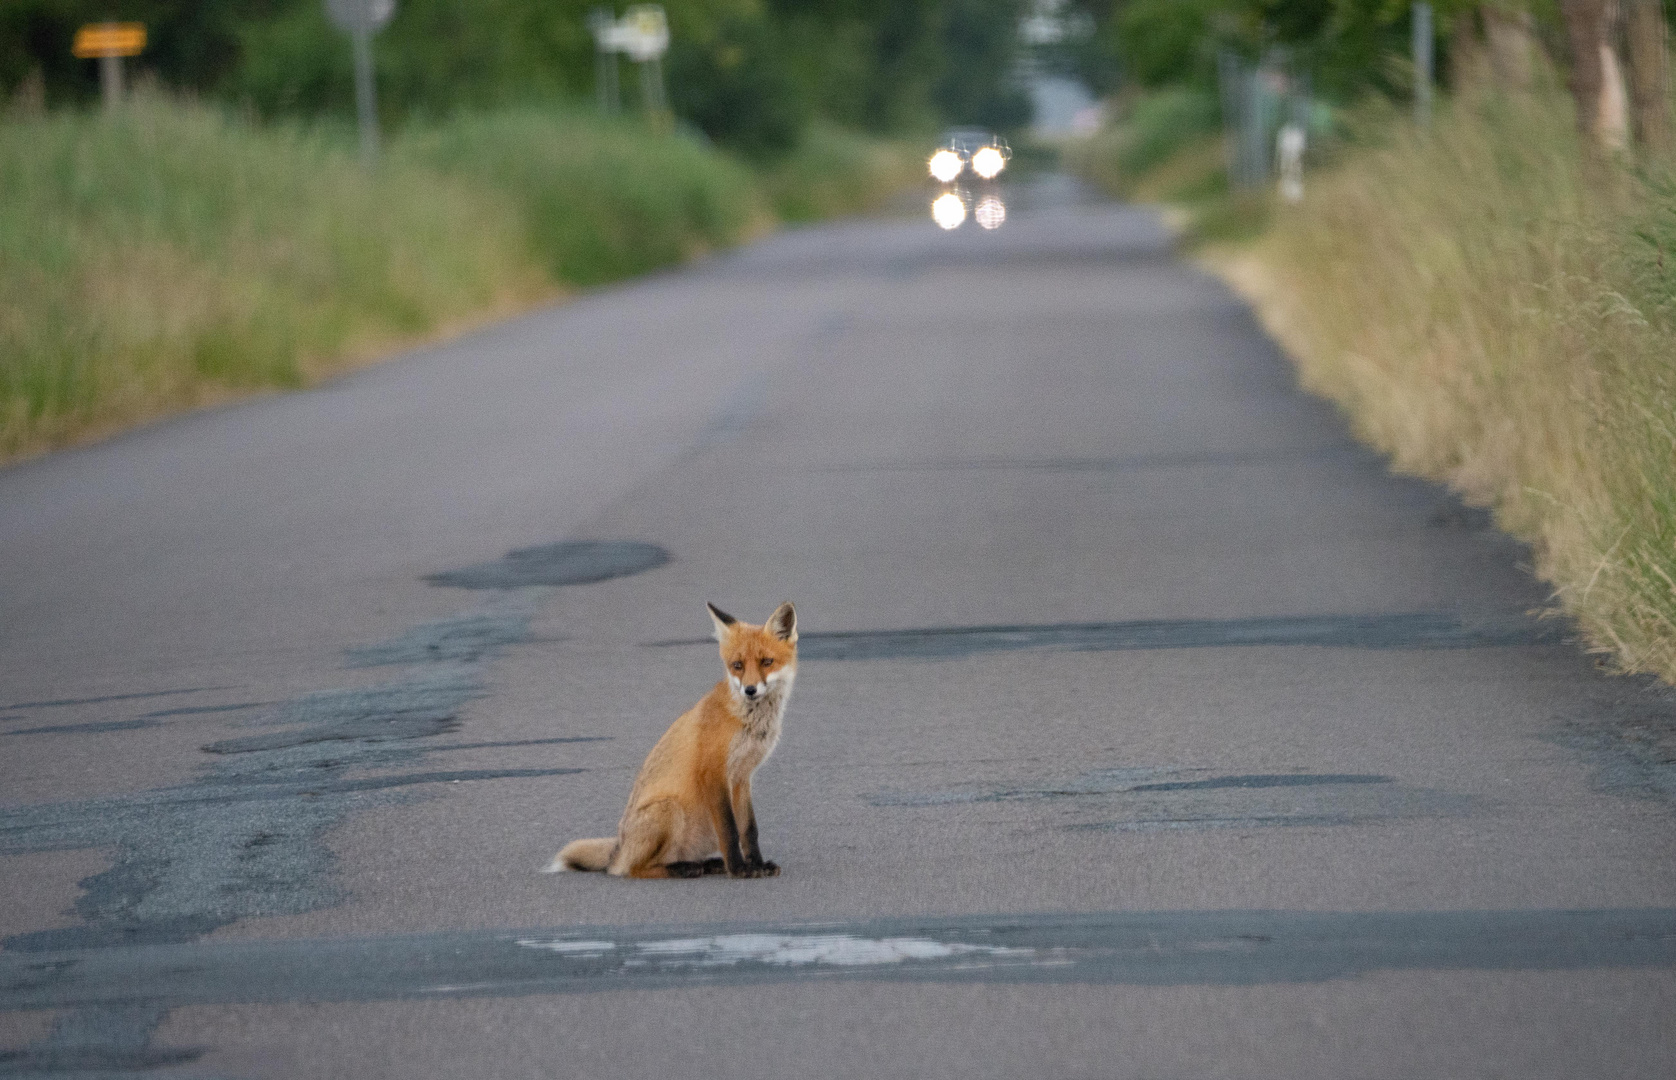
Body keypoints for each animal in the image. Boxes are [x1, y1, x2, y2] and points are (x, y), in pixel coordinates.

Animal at [543, 593, 791, 878]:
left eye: (766, 662)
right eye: (737, 666)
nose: (750, 690)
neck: (749, 722)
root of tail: (618, 850)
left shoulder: (741, 777)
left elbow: (749, 830)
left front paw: (757, 864)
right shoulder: (713, 772)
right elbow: (729, 831)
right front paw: (739, 869)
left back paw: (708, 864)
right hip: (668, 810)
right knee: (634, 870)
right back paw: (684, 869)